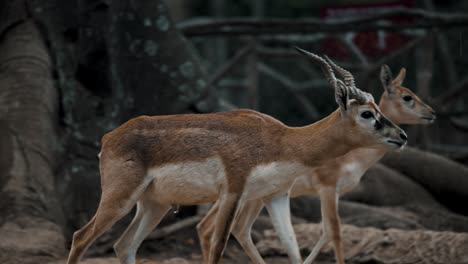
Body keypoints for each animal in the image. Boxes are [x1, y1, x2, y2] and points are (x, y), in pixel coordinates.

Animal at [66, 47, 406, 264]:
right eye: (366, 113)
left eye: (377, 109)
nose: (401, 136)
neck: (281, 142)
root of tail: (110, 137)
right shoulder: (233, 191)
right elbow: (218, 247)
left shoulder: (276, 196)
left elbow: (292, 248)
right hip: (120, 198)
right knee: (81, 237)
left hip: (154, 204)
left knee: (124, 246)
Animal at [197, 49, 436, 264]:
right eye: (407, 97)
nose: (431, 114)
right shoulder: (327, 189)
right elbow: (335, 232)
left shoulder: (334, 193)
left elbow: (326, 232)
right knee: (215, 228)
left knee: (228, 228)